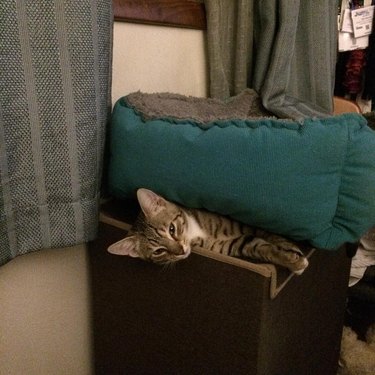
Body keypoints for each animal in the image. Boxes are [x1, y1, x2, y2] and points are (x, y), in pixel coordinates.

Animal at [107, 189, 310, 274]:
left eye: (172, 229)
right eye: (159, 251)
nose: (181, 251)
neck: (195, 231)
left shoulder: (240, 223)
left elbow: (268, 233)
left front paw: (290, 250)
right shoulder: (226, 246)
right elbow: (258, 246)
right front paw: (292, 261)